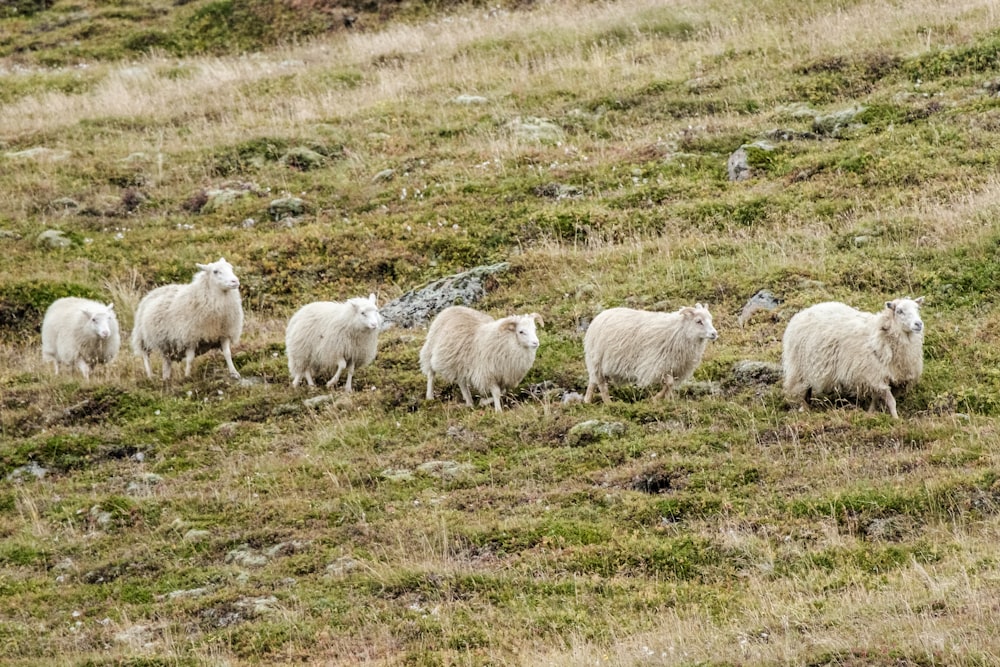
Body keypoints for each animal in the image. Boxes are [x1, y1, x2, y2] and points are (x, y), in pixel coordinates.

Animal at [580, 306, 720, 404]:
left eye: (711, 319)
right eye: (699, 321)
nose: (714, 334)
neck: (678, 331)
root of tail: (598, 317)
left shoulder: (674, 367)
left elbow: (669, 385)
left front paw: (664, 399)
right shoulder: (657, 364)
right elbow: (669, 383)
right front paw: (659, 399)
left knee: (593, 382)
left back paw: (587, 401)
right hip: (597, 360)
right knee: (601, 384)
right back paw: (609, 403)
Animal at [780, 296, 928, 418]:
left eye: (918, 309)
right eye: (900, 311)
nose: (918, 324)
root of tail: (803, 312)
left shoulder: (879, 377)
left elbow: (876, 398)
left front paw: (871, 412)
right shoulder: (874, 374)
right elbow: (891, 401)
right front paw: (896, 419)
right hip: (800, 368)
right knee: (804, 390)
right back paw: (804, 408)